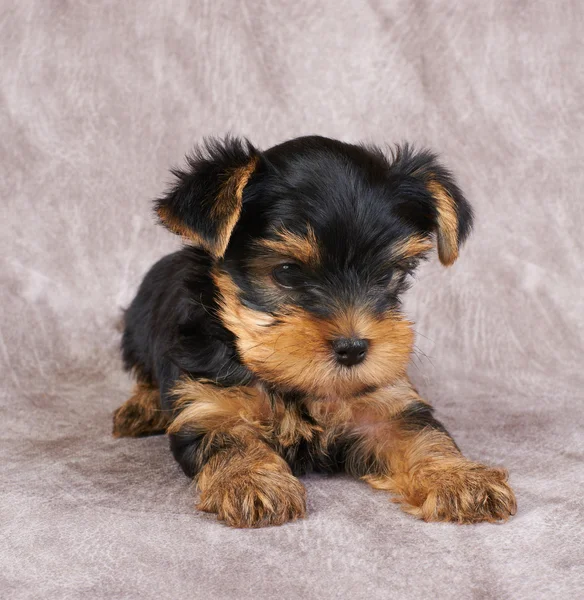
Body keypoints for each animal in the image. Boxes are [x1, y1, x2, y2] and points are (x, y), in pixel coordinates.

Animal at [113, 135, 516, 524]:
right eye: (287, 272)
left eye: (387, 275)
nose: (353, 348)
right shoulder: (208, 402)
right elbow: (231, 441)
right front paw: (251, 482)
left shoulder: (384, 403)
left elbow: (420, 436)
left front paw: (460, 479)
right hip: (136, 331)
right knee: (144, 374)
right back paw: (141, 408)